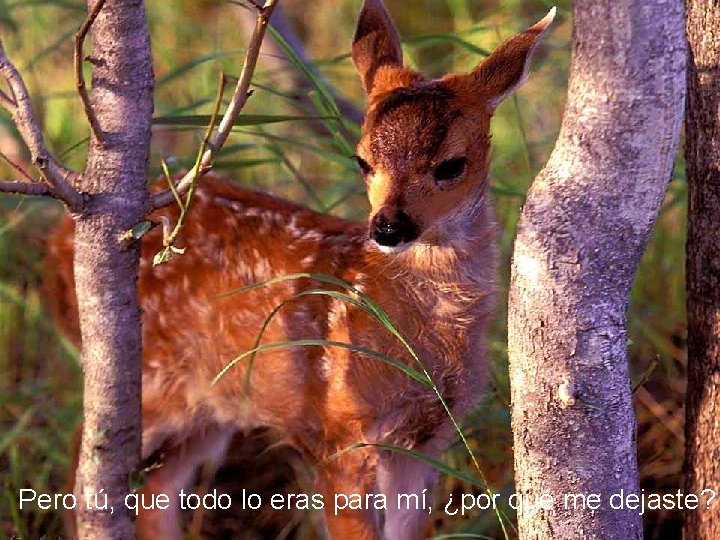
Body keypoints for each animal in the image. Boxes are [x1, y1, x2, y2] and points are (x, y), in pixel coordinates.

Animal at [43, 2, 552, 536]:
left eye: (451, 165)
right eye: (362, 160)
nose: (388, 227)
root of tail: (56, 245)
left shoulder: (427, 437)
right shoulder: (337, 431)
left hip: (210, 406)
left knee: (154, 489)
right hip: (149, 383)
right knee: (86, 465)